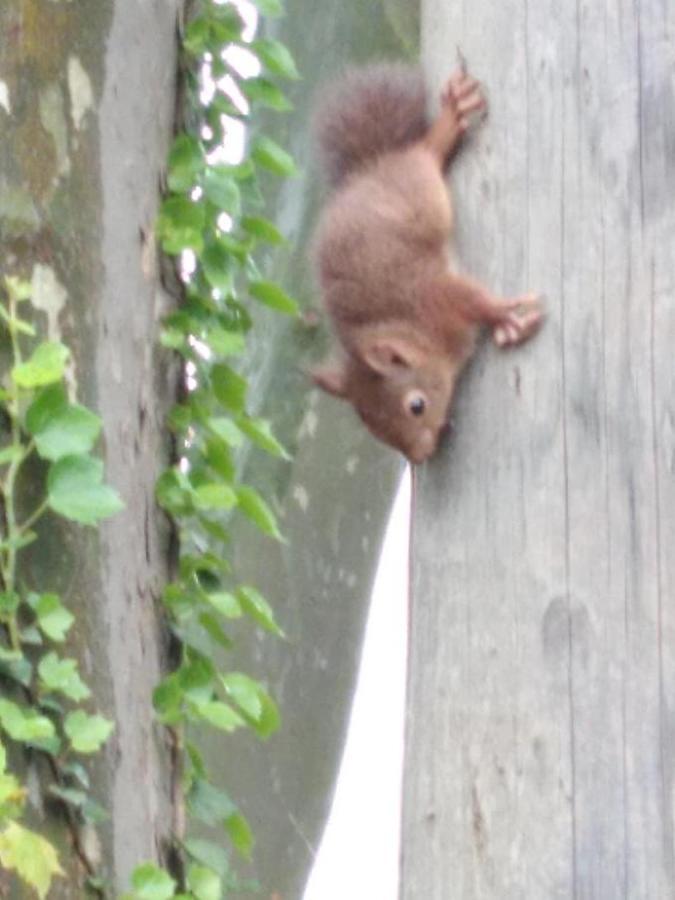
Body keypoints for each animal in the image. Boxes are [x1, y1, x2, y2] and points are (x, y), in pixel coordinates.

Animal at [308, 61, 540, 464]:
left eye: (416, 406)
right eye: (371, 425)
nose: (420, 456)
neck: (412, 327)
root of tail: (369, 169)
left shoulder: (434, 295)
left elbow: (473, 299)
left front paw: (506, 318)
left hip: (418, 182)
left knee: (425, 150)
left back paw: (450, 119)